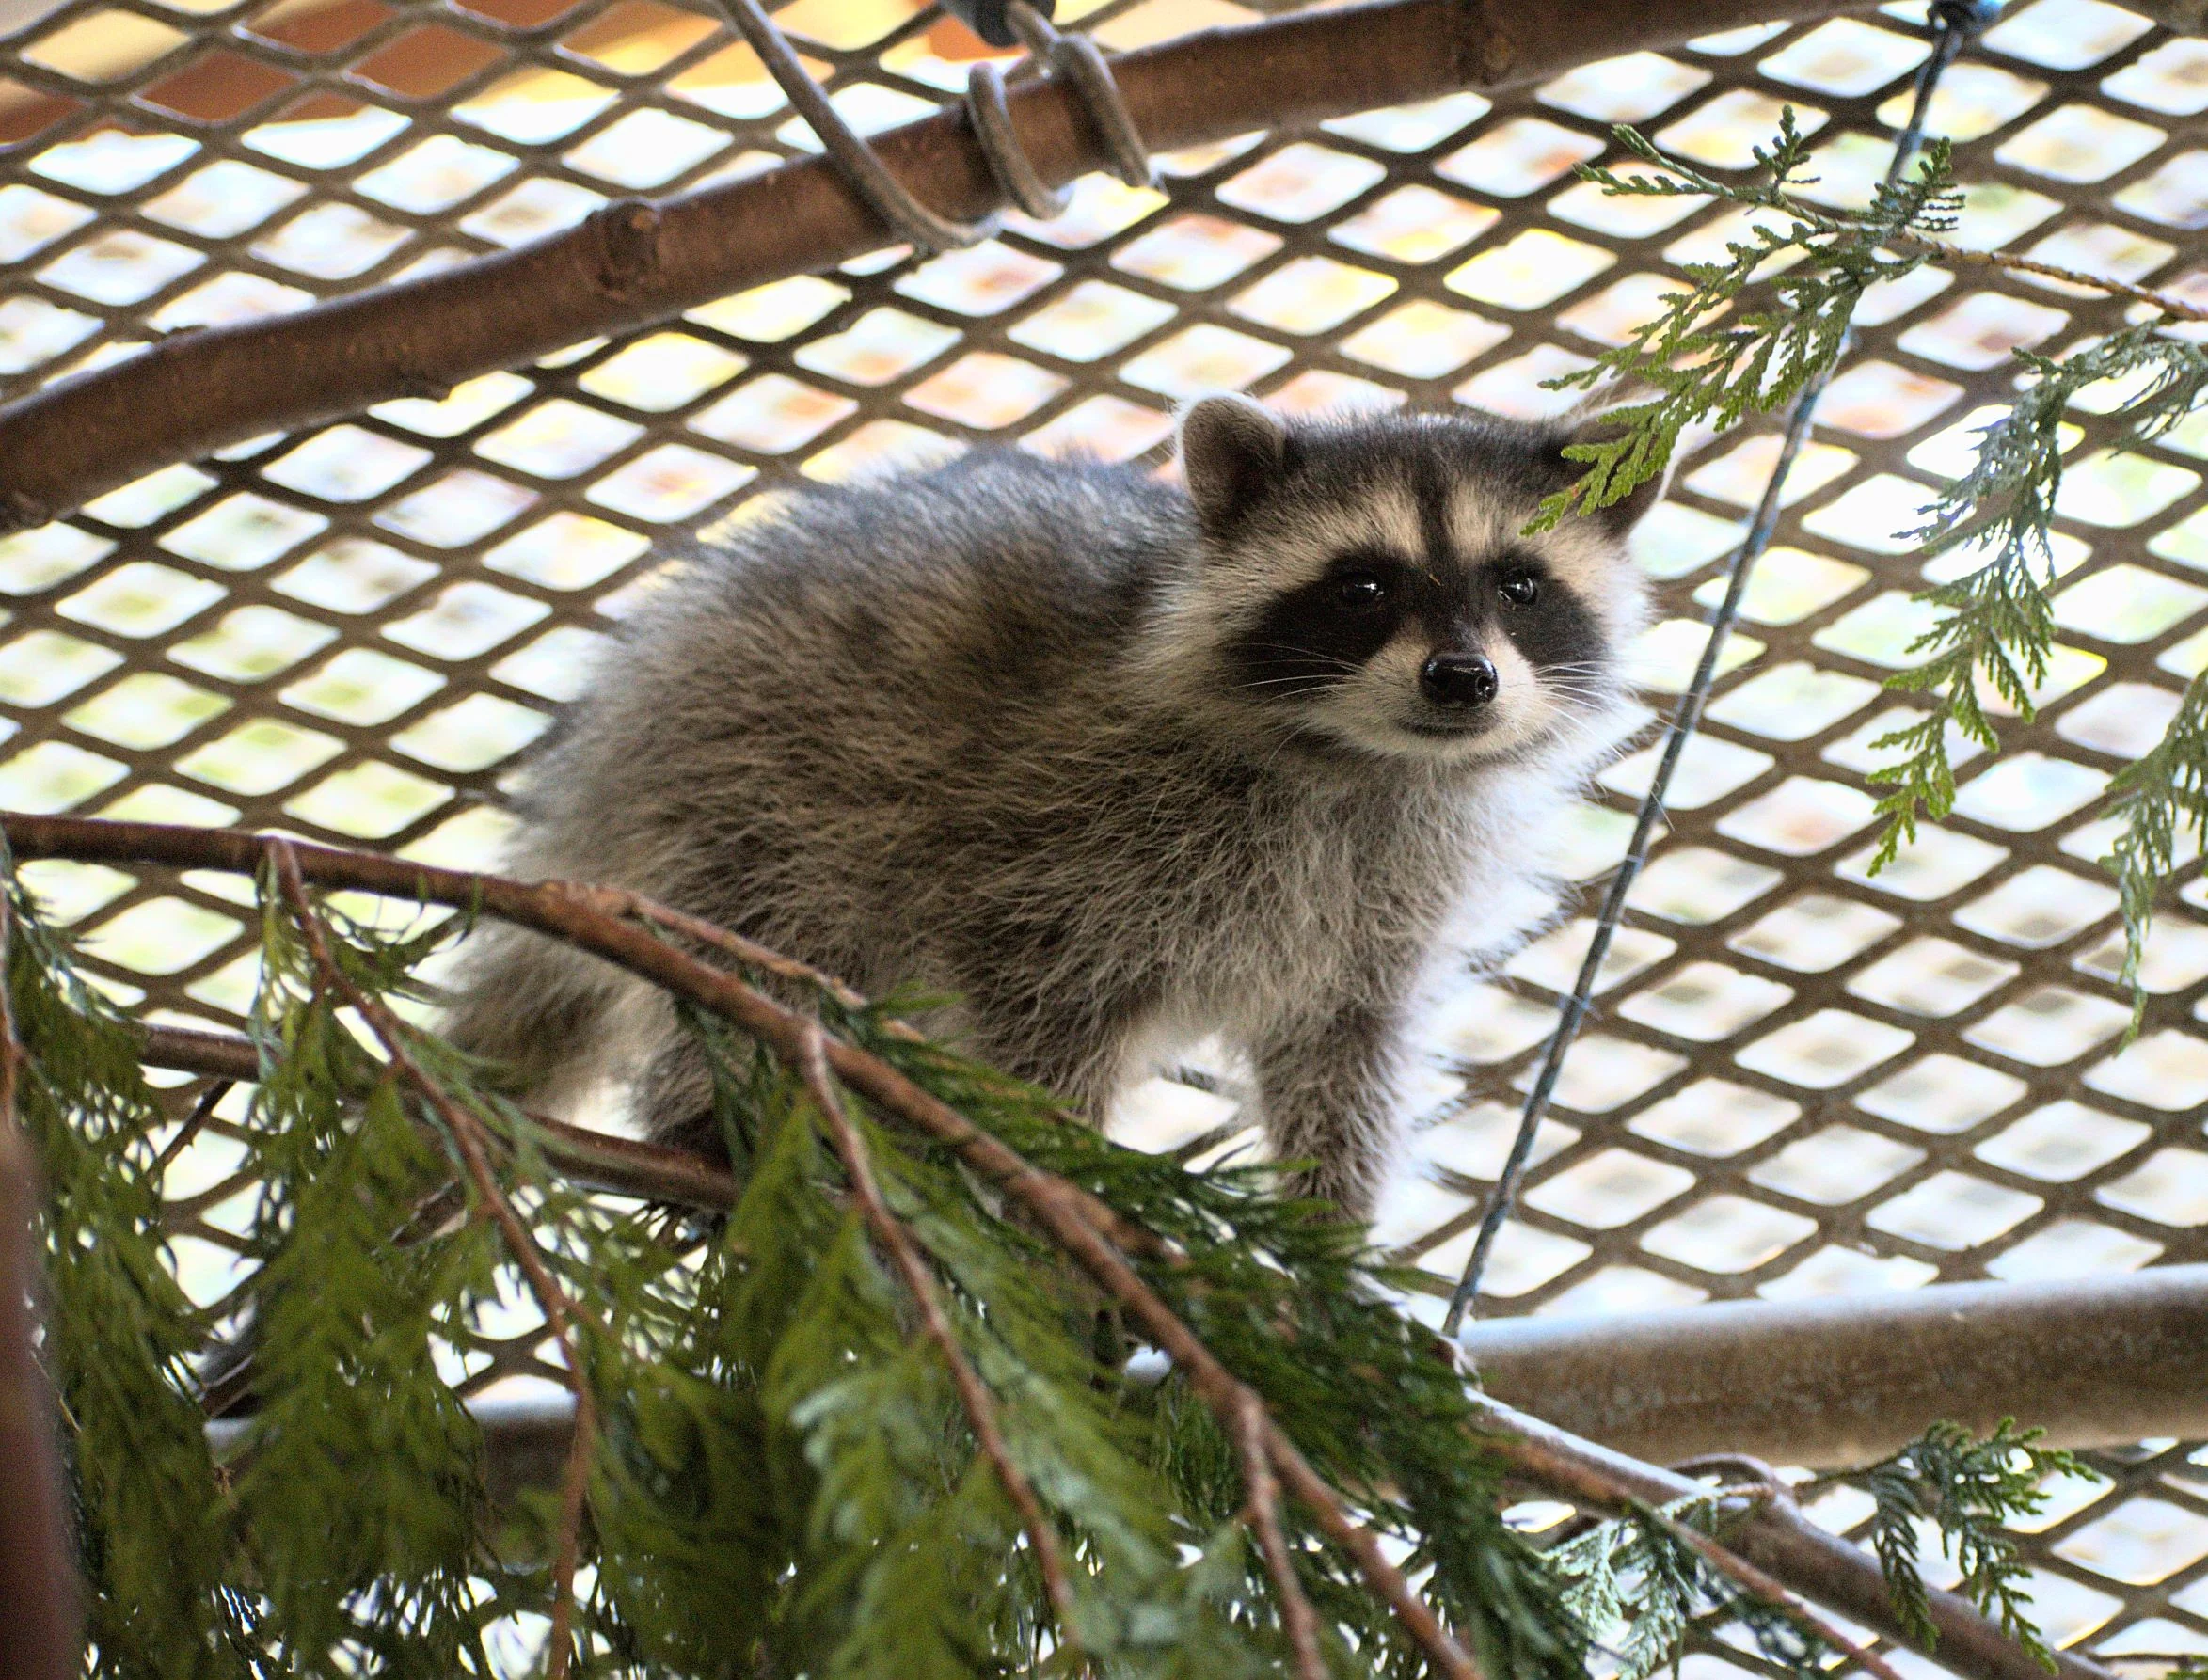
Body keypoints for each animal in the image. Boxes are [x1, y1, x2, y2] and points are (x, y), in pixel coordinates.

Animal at [446, 395, 1659, 1219]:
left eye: (1519, 585)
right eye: (1362, 587)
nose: (1462, 679)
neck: (1363, 762)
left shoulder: (1384, 913)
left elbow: (1345, 1058)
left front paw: (1337, 1241)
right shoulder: (1061, 815)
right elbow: (1036, 1005)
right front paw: (1057, 1174)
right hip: (750, 765)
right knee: (777, 926)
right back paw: (707, 1110)